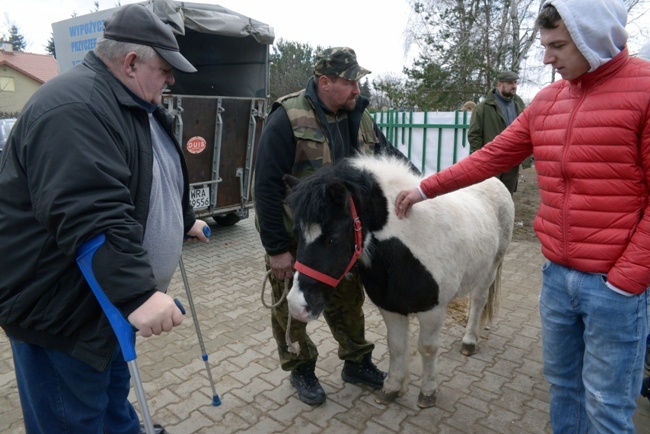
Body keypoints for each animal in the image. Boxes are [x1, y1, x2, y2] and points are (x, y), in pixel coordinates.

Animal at [284, 155, 512, 406]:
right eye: (297, 234)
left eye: (333, 239)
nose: (297, 304)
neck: (407, 244)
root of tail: (495, 182)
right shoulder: (390, 308)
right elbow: (396, 346)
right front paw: (392, 388)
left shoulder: (433, 311)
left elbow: (428, 348)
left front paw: (428, 392)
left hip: (490, 269)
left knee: (479, 301)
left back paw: (469, 341)